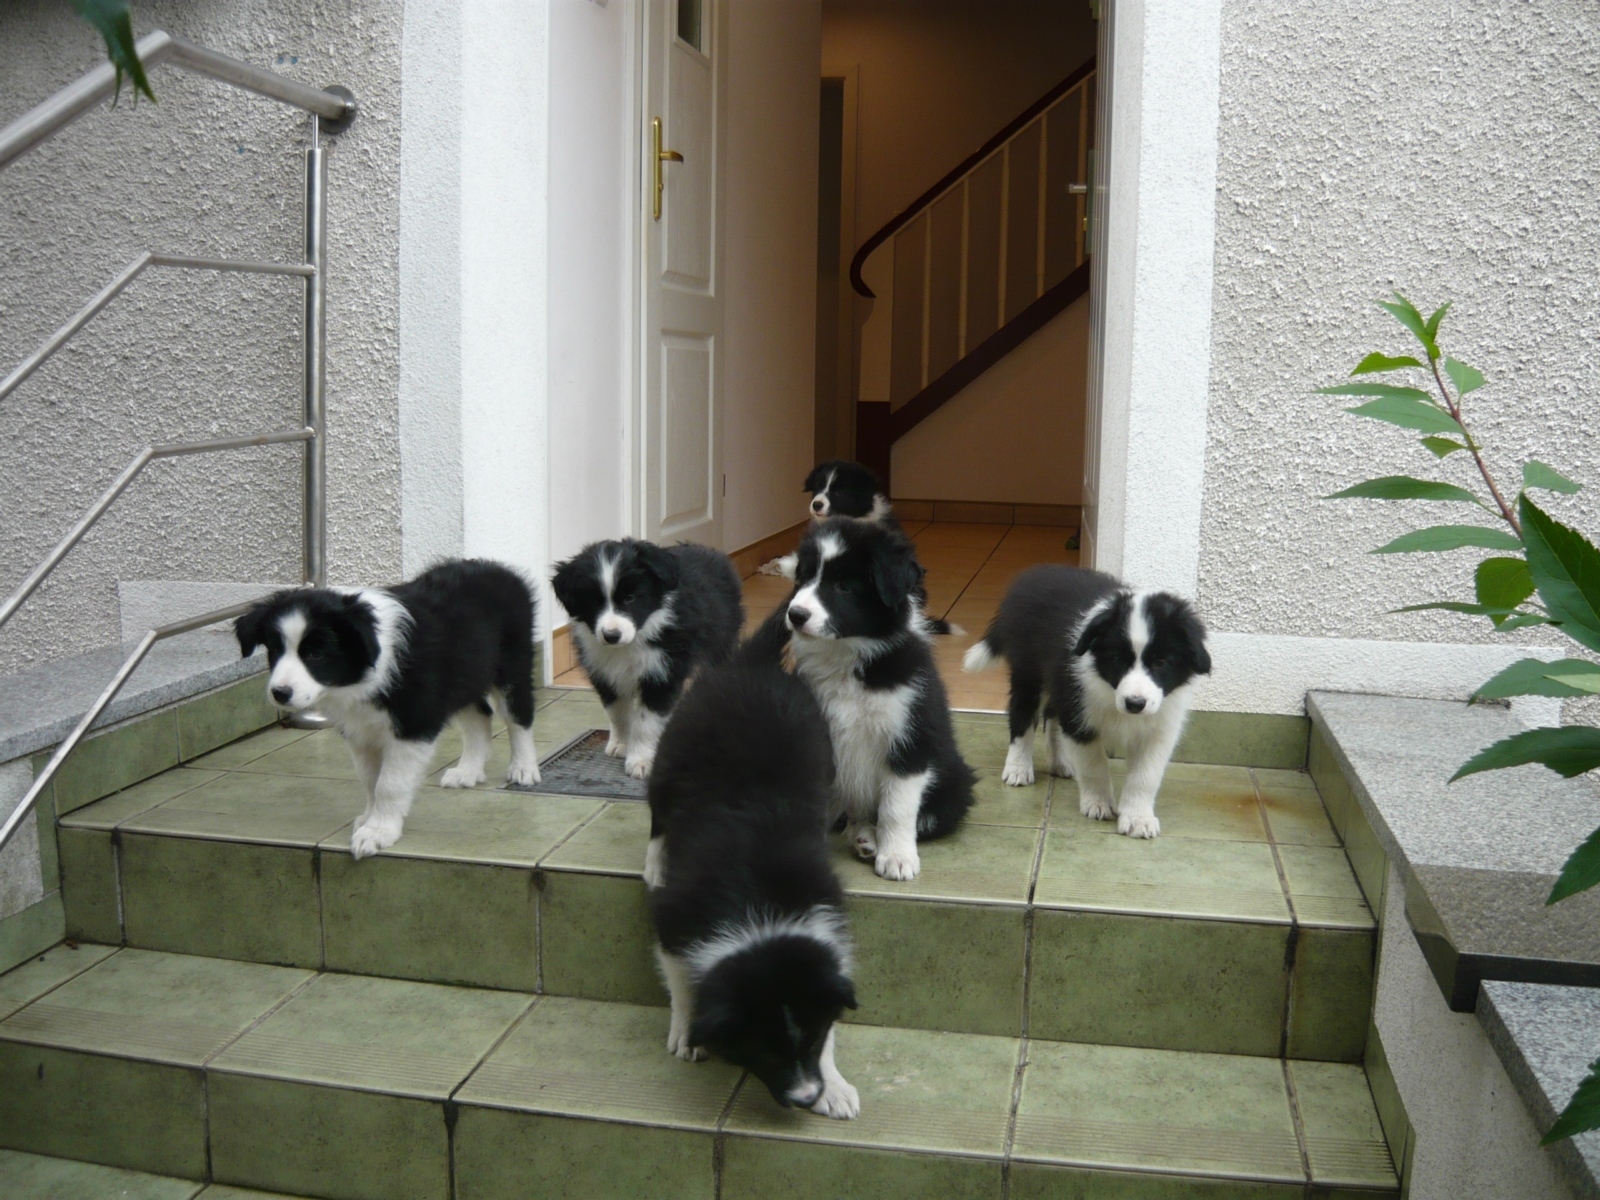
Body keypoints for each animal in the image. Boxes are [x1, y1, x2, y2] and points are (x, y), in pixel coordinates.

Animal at [234, 559, 541, 859]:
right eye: (275, 650)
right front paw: (370, 818)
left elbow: (389, 783)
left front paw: (378, 831)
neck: (363, 672)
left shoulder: (414, 722)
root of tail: (500, 568)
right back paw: (468, 770)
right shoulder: (360, 730)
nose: (280, 693)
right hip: (463, 676)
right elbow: (371, 780)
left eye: (316, 654)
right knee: (479, 715)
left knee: (519, 716)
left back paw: (523, 768)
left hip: (511, 665)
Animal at [550, 539, 743, 779]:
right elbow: (617, 713)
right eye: (593, 602)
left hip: (720, 646)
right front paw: (621, 745)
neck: (630, 644)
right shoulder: (604, 673)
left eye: (630, 598)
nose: (611, 635)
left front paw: (641, 762)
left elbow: (646, 722)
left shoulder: (662, 673)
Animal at [646, 605, 860, 1119]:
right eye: (763, 1050)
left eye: (809, 1042)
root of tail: (749, 665)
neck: (761, 907)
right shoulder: (675, 915)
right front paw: (688, 1032)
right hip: (671, 752)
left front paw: (835, 1086)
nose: (806, 1098)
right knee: (658, 809)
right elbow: (680, 975)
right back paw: (655, 860)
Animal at [784, 518, 974, 880]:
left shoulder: (910, 737)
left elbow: (897, 807)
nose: (795, 614)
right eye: (804, 577)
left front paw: (897, 858)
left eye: (843, 586)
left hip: (955, 784)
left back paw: (870, 840)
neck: (847, 657)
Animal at [962, 565, 1211, 839]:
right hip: (1028, 671)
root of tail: (1035, 572)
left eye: (1161, 663)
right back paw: (1018, 768)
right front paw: (1099, 804)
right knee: (1022, 715)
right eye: (1118, 660)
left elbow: (1145, 776)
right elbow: (1094, 765)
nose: (1135, 703)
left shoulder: (1159, 728)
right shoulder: (1079, 715)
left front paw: (1138, 818)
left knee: (1052, 716)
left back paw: (1060, 762)